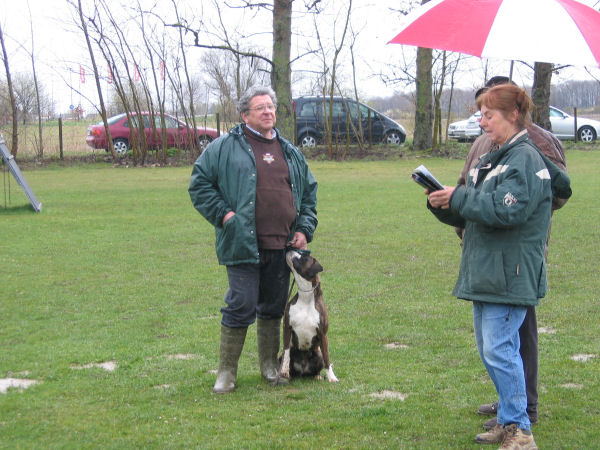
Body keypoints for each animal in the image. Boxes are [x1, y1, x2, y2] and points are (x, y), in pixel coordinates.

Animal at [276, 250, 338, 384]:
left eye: (304, 257)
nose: (290, 249)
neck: (306, 296)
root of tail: (303, 371)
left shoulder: (322, 334)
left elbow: (327, 358)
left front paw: (332, 377)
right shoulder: (287, 328)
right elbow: (286, 352)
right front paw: (284, 370)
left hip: (318, 353)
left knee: (320, 364)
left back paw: (317, 376)